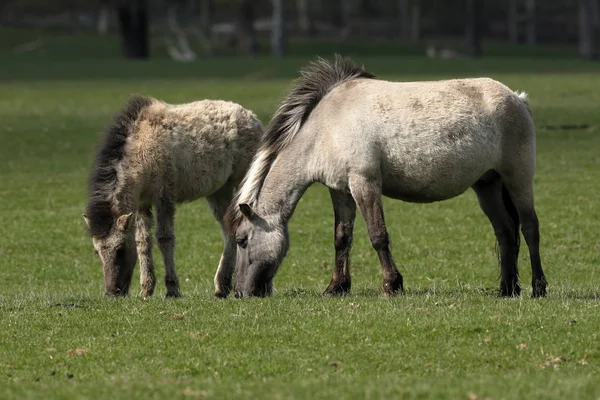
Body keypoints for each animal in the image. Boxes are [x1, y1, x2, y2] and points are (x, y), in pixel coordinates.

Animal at [84, 95, 262, 298]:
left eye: (120, 250)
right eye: (97, 252)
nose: (112, 292)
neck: (141, 149)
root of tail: (252, 117)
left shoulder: (164, 197)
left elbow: (164, 238)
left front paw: (172, 288)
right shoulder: (142, 204)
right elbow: (143, 241)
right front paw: (146, 289)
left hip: (243, 182)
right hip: (219, 191)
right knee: (229, 229)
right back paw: (222, 286)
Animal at [226, 54, 548, 298]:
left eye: (242, 240)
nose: (240, 292)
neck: (326, 126)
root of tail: (518, 99)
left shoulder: (364, 182)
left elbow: (378, 236)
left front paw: (392, 285)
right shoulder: (340, 190)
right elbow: (342, 237)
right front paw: (336, 287)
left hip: (518, 179)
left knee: (529, 228)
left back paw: (537, 287)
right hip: (488, 185)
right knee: (505, 232)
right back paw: (506, 289)